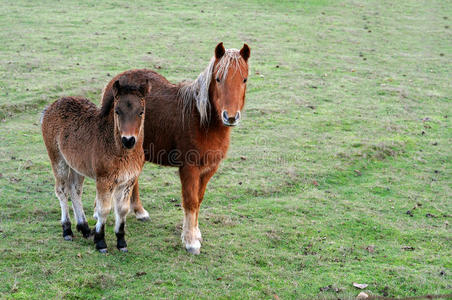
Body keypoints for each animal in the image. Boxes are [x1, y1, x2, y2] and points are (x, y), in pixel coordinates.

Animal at [41, 73, 150, 253]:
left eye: (141, 112)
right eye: (117, 111)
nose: (128, 140)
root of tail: (51, 106)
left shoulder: (128, 181)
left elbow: (122, 209)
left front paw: (121, 242)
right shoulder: (104, 180)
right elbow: (103, 209)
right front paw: (100, 241)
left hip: (77, 165)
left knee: (74, 190)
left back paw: (84, 228)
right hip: (58, 159)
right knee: (62, 190)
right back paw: (67, 230)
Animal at [101, 41, 251, 253]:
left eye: (244, 79)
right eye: (218, 79)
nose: (230, 117)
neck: (201, 121)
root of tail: (115, 81)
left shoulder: (209, 169)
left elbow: (199, 199)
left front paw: (195, 233)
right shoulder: (189, 168)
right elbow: (190, 201)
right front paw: (190, 241)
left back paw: (139, 211)